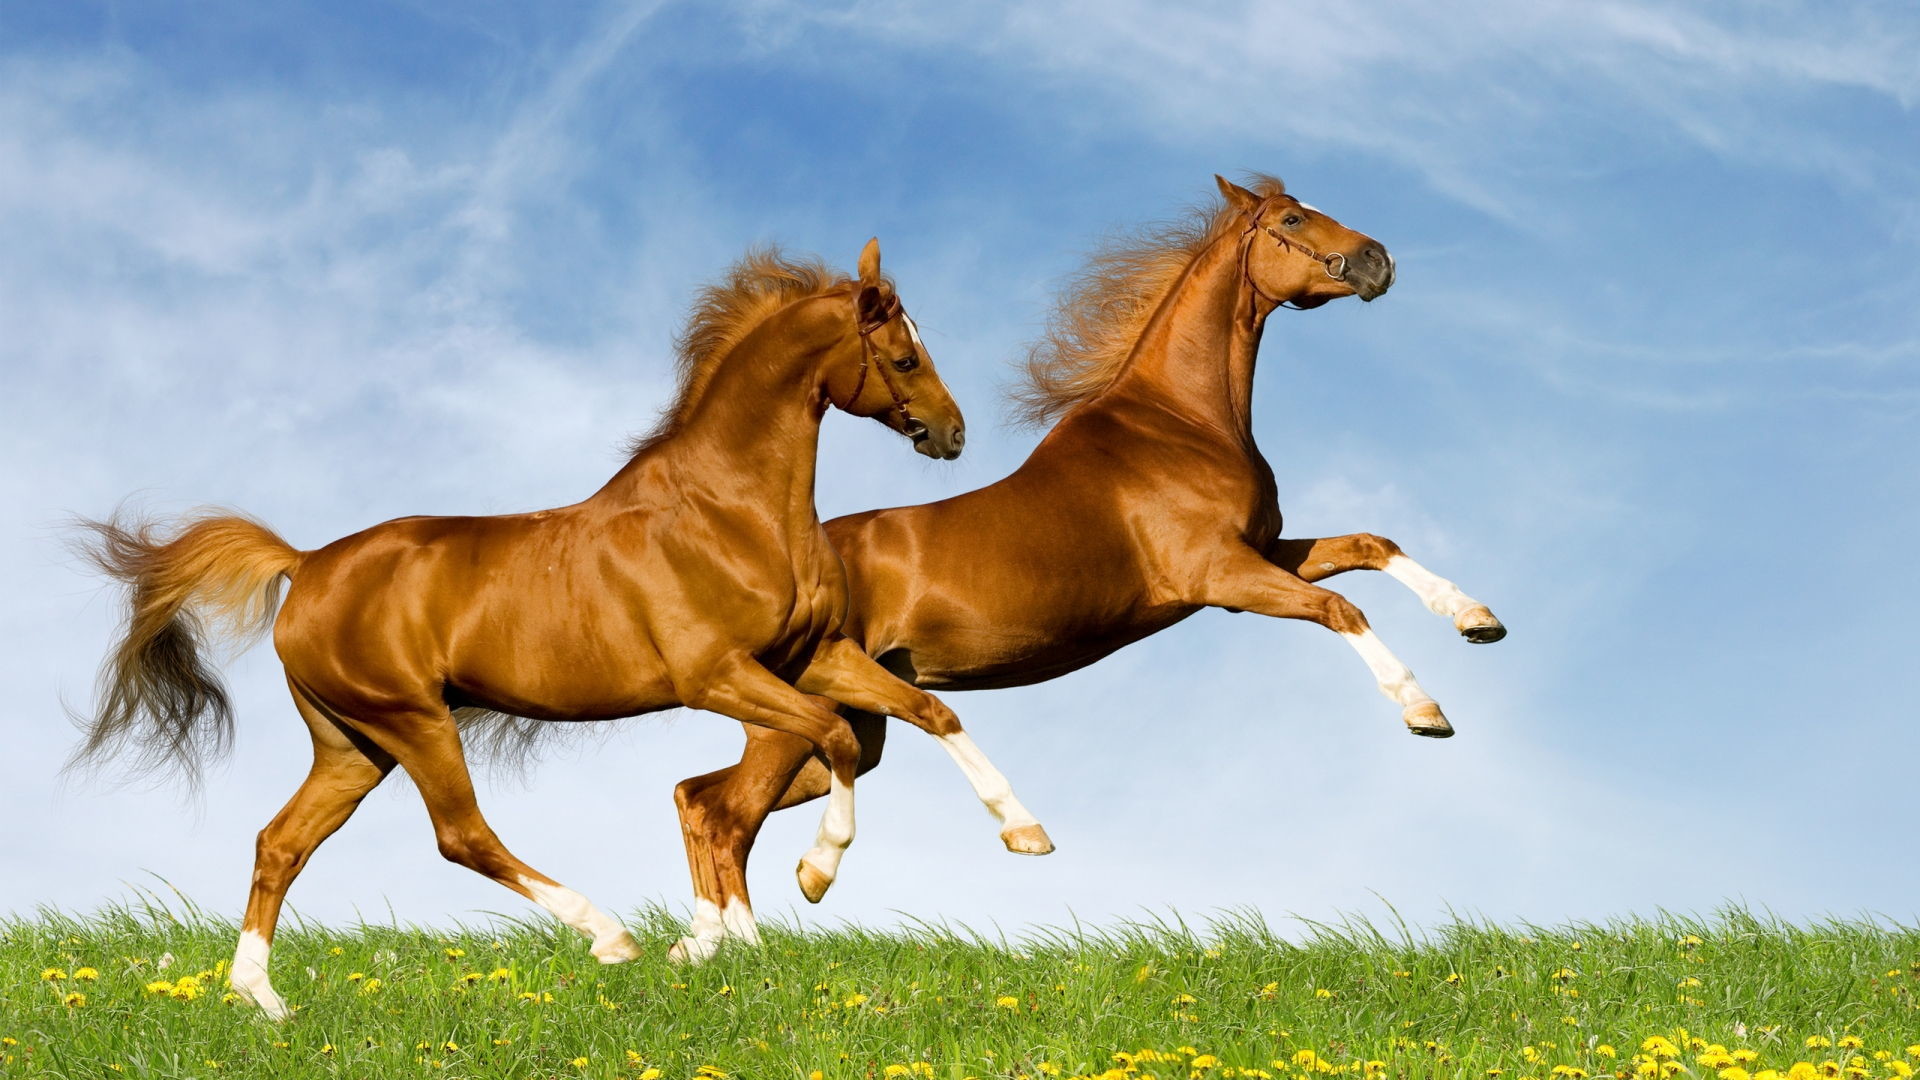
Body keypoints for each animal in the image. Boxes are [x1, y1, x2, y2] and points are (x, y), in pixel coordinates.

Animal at [69, 239, 1048, 1019]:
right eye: (905, 357)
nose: (953, 435)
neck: (728, 510)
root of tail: (305, 564)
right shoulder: (717, 675)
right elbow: (833, 740)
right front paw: (810, 879)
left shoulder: (812, 657)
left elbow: (930, 712)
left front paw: (1025, 833)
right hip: (413, 721)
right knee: (461, 835)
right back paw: (609, 935)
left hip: (351, 743)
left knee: (281, 843)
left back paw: (261, 1000)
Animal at [667, 176, 1506, 957]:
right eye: (1294, 219)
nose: (1377, 260)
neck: (1180, 423)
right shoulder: (1223, 577)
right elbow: (1342, 610)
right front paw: (1425, 711)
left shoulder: (1266, 552)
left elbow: (1372, 546)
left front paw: (1477, 618)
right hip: (800, 722)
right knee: (724, 814)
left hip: (847, 726)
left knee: (699, 797)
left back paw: (704, 942)